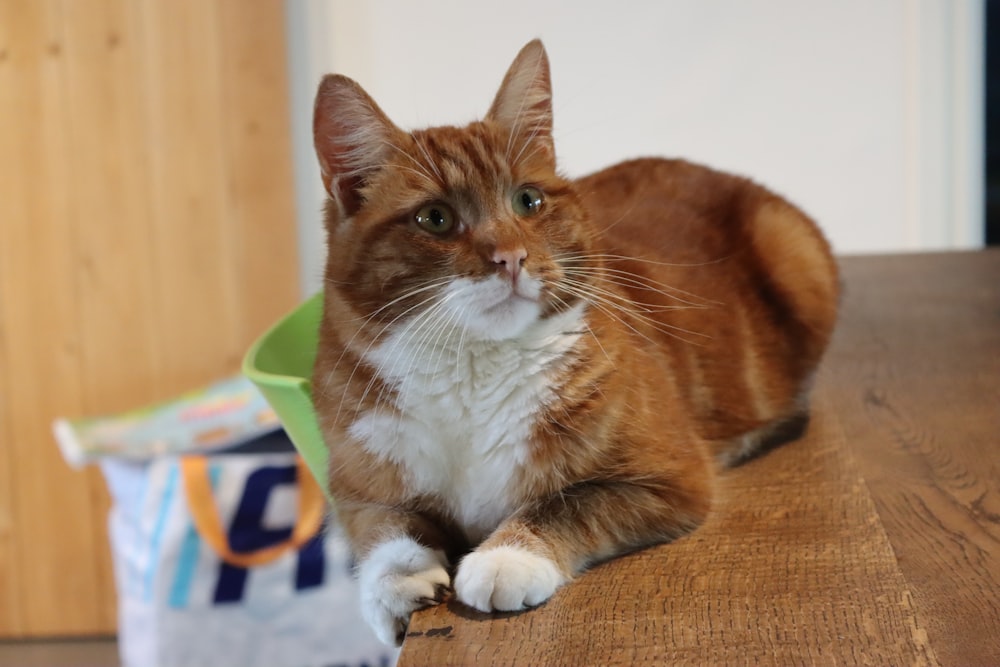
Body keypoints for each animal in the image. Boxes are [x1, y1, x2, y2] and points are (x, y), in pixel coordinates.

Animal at [308, 39, 840, 644]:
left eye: (528, 201)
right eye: (435, 218)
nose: (510, 257)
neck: (473, 371)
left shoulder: (672, 476)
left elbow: (568, 502)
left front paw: (506, 556)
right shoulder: (353, 485)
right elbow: (382, 524)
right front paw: (397, 579)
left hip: (794, 254)